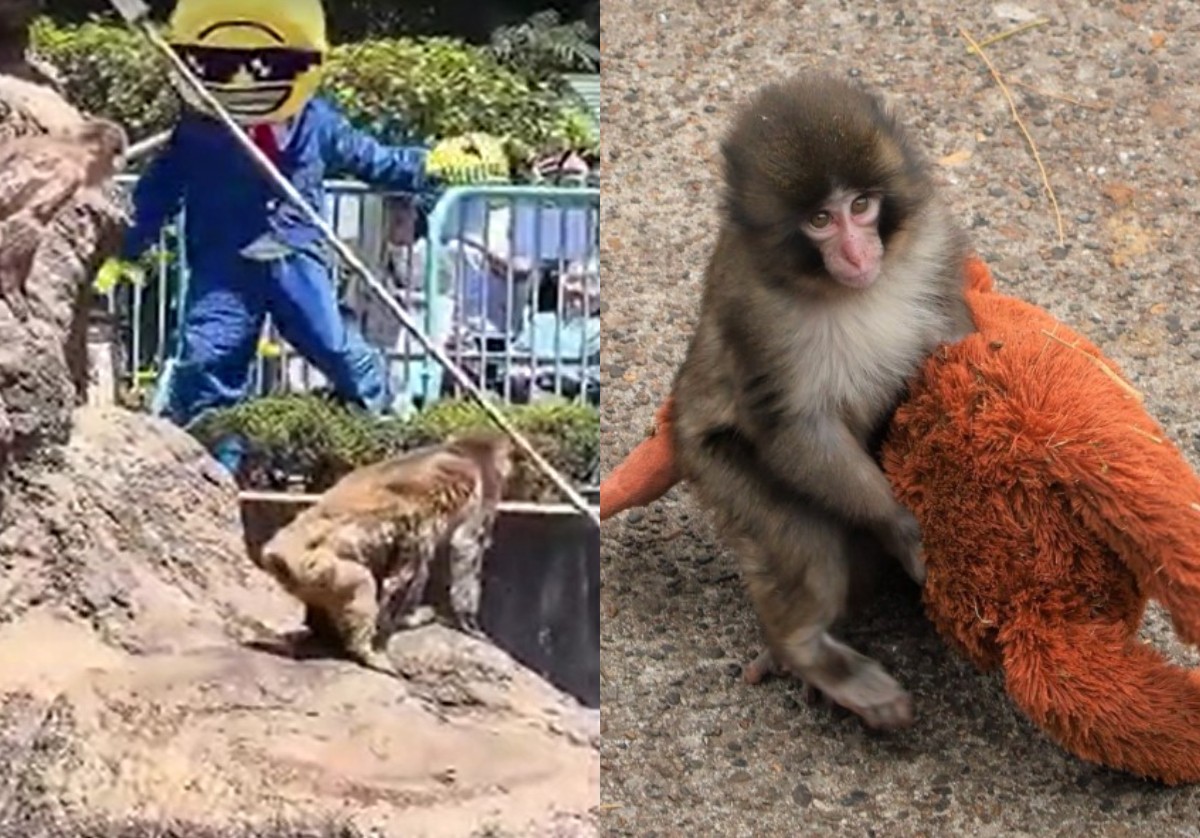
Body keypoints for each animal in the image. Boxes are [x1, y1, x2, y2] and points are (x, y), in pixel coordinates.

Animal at [257, 431, 514, 675]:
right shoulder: (487, 485)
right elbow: (465, 544)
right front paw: (468, 622)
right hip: (322, 562)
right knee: (387, 570)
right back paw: (373, 647)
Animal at [670, 72, 975, 730]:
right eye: (818, 220)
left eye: (861, 206)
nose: (858, 255)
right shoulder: (754, 310)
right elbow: (793, 428)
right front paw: (901, 526)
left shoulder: (934, 244)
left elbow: (956, 341)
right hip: (713, 464)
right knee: (806, 541)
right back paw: (806, 651)